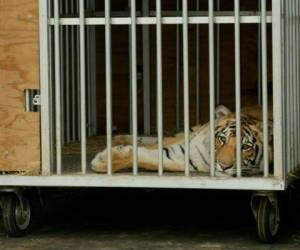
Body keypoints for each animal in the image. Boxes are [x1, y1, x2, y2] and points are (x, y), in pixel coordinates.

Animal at [91, 104, 272, 177]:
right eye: (222, 139)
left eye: (245, 147)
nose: (223, 165)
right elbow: (155, 146)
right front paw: (104, 161)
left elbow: (153, 157)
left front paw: (103, 160)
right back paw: (118, 138)